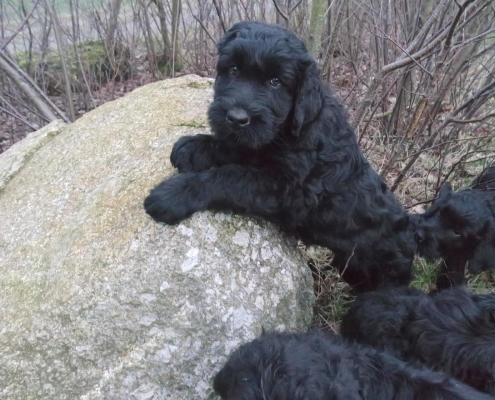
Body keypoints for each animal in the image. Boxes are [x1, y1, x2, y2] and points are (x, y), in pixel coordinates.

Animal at [145, 20, 416, 292]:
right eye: (233, 70)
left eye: (275, 81)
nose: (236, 118)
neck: (294, 125)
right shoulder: (258, 142)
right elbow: (238, 146)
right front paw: (195, 146)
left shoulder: (289, 189)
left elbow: (231, 175)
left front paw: (174, 193)